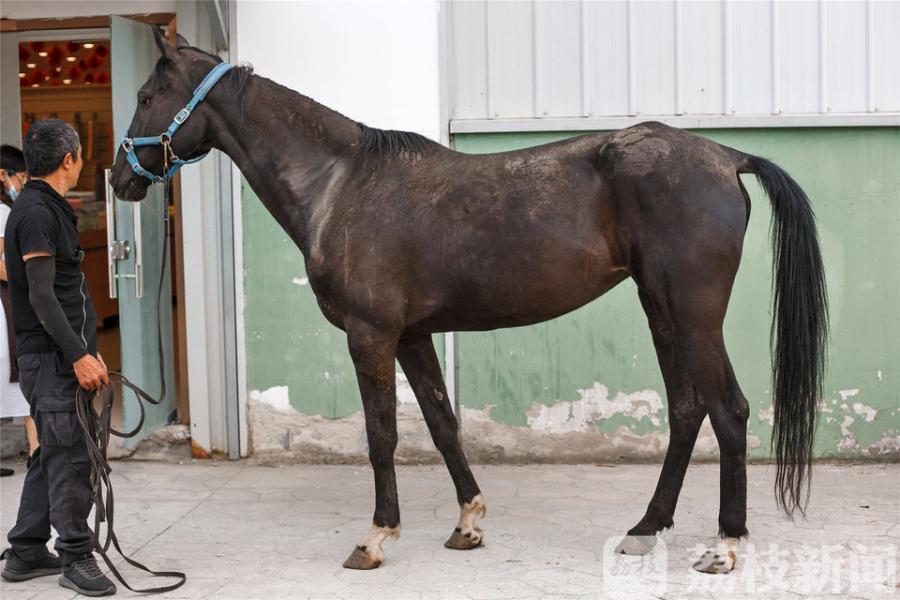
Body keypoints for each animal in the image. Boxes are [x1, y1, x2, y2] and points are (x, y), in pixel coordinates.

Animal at [111, 30, 826, 574]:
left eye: (146, 96)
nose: (119, 180)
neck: (340, 185)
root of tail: (725, 156)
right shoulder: (412, 335)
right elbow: (441, 424)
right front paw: (468, 522)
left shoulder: (370, 334)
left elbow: (382, 433)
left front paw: (376, 536)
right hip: (662, 311)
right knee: (685, 410)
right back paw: (644, 529)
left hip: (694, 315)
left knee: (727, 411)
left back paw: (725, 546)